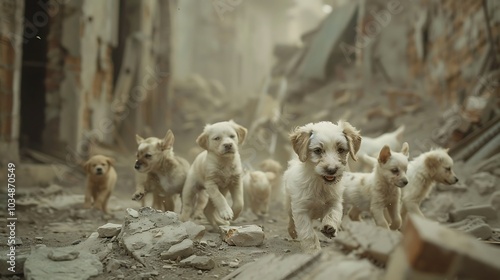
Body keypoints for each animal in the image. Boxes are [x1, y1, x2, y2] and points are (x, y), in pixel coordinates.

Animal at [284, 120, 362, 254]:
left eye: (340, 149)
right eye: (318, 150)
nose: (331, 170)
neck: (320, 184)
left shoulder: (335, 202)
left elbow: (333, 214)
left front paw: (330, 227)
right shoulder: (301, 209)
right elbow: (308, 233)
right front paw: (312, 251)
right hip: (289, 203)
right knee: (290, 218)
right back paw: (292, 231)